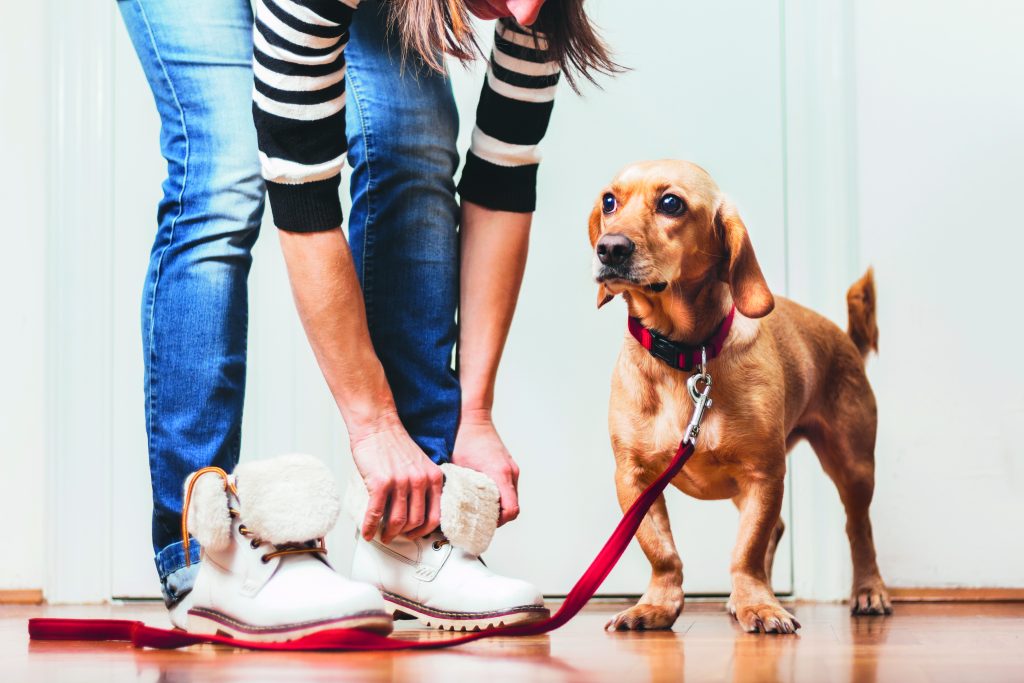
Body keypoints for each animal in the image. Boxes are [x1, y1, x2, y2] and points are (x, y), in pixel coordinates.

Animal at [589, 161, 892, 634]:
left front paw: (760, 605)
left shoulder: (763, 475)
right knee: (780, 528)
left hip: (854, 467)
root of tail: (845, 338)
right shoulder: (634, 479)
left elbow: (746, 550)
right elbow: (661, 552)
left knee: (858, 530)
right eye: (609, 201)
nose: (609, 249)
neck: (686, 355)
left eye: (671, 203)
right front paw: (656, 606)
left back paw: (868, 590)